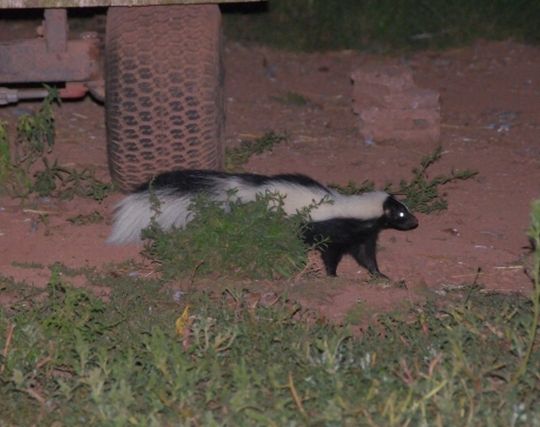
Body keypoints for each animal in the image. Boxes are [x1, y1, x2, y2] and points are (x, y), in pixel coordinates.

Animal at [106, 171, 418, 278]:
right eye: (401, 215)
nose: (416, 222)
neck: (351, 209)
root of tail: (247, 190)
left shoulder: (362, 234)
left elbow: (366, 256)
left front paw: (380, 275)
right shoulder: (333, 230)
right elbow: (330, 255)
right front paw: (332, 276)